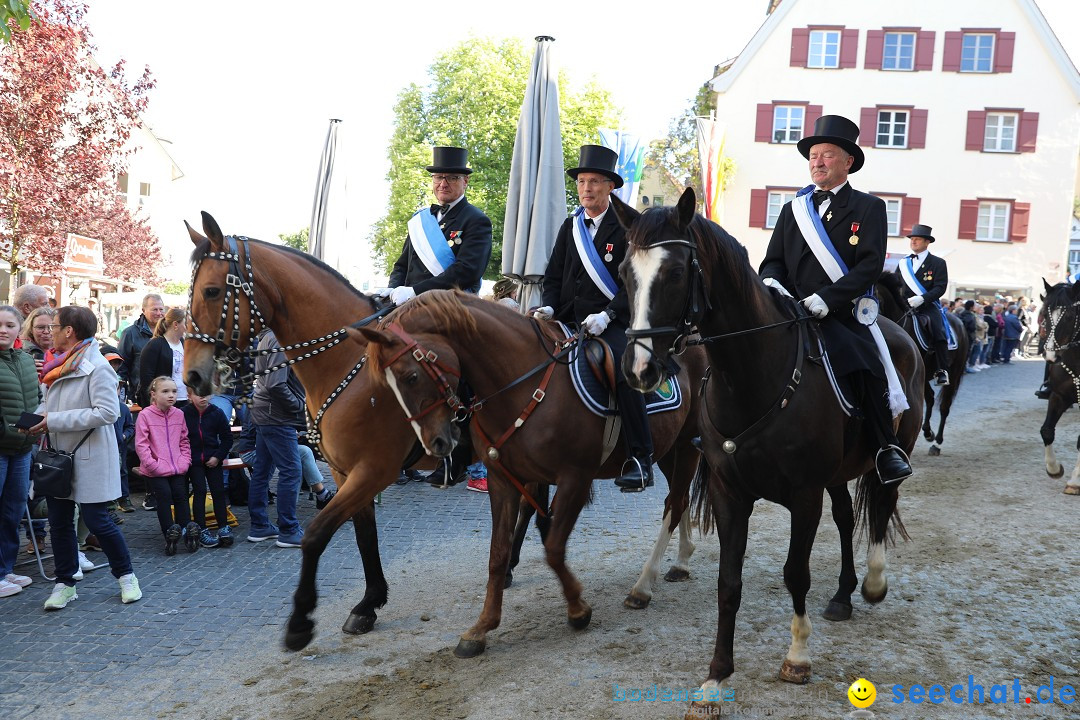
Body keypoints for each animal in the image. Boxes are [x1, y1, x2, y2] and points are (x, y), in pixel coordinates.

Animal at [354, 291, 708, 660]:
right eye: (386, 384)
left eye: (411, 376)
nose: (436, 444)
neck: (519, 384)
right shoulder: (503, 480)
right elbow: (498, 554)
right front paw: (481, 627)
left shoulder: (575, 479)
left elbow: (552, 547)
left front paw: (578, 609)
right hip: (668, 449)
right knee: (678, 499)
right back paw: (680, 562)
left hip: (689, 444)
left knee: (675, 504)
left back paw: (643, 586)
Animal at [613, 187, 924, 708]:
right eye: (623, 273)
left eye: (675, 272)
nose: (639, 370)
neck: (751, 375)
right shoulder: (730, 493)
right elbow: (728, 582)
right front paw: (717, 676)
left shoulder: (803, 495)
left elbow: (796, 572)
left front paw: (797, 658)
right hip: (835, 474)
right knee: (846, 518)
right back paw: (842, 596)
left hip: (894, 448)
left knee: (882, 502)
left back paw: (874, 582)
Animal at [876, 269, 972, 455]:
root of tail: (959, 322)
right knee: (931, 398)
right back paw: (928, 432)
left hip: (953, 373)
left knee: (944, 406)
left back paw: (937, 443)